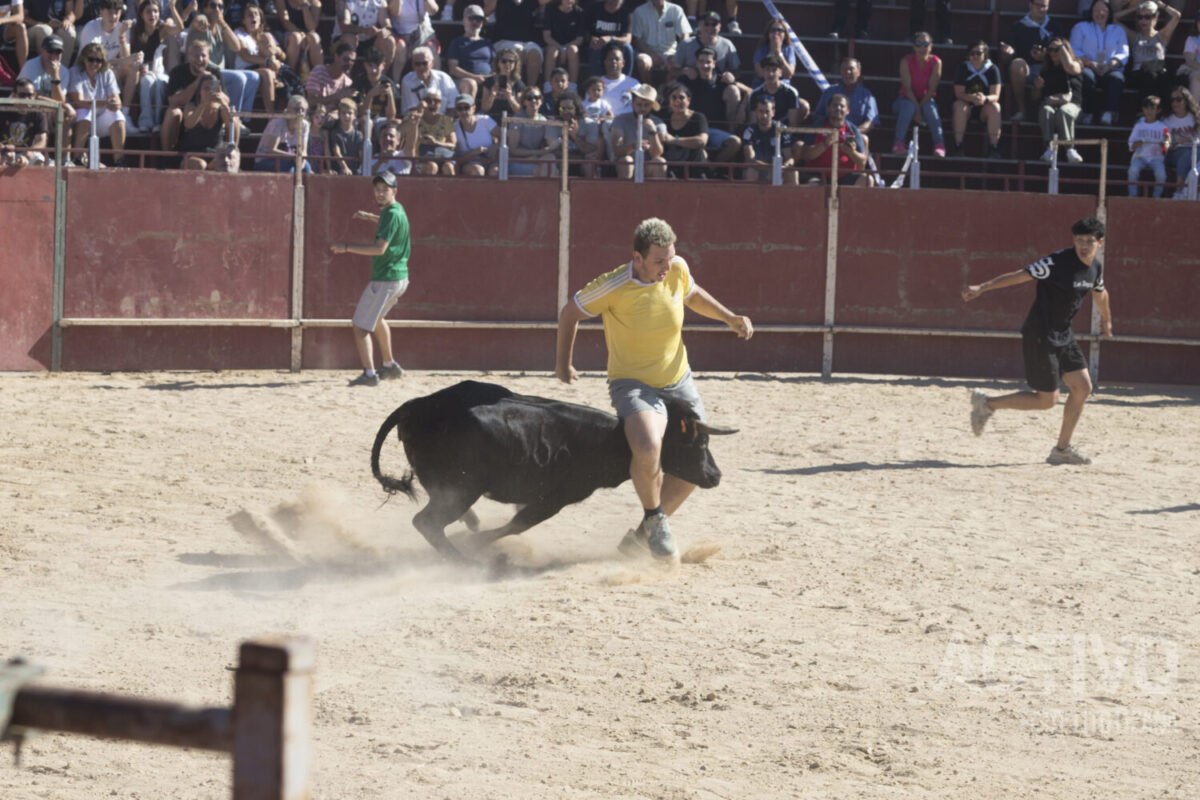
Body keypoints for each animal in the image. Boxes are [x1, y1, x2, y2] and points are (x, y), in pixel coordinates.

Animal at [369, 381, 734, 556]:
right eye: (699, 443)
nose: (715, 475)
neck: (611, 439)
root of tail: (417, 405)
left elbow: (516, 521)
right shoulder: (555, 499)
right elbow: (518, 524)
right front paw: (481, 543)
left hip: (450, 489)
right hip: (461, 490)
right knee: (427, 522)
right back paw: (468, 559)